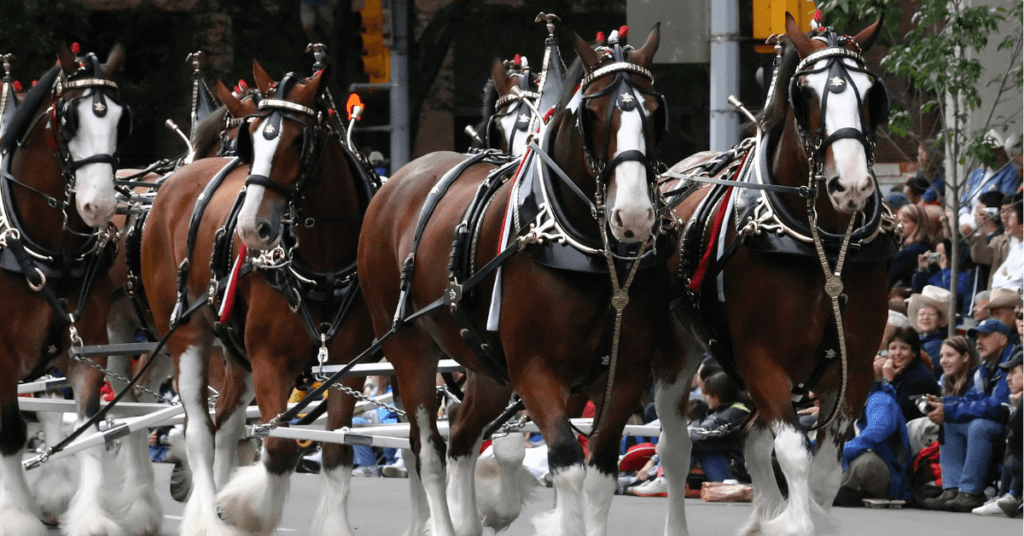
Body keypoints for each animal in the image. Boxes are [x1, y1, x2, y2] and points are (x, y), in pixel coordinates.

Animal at [0, 43, 132, 536]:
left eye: (121, 118)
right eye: (68, 120)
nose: (101, 206)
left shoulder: (86, 348)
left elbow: (89, 428)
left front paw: (91, 517)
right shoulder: (2, 358)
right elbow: (12, 434)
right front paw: (17, 516)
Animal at [141, 60, 380, 532]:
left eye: (298, 140)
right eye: (251, 140)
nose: (252, 229)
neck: (323, 265)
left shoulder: (349, 365)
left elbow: (338, 451)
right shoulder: (272, 361)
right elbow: (280, 448)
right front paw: (241, 509)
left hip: (236, 352)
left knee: (226, 425)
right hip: (187, 338)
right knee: (201, 432)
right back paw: (208, 517)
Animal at [358, 25, 671, 536]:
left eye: (655, 110)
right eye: (591, 113)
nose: (634, 216)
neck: (588, 251)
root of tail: (398, 182)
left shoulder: (624, 374)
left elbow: (598, 473)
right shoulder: (534, 369)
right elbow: (566, 461)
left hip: (486, 368)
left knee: (463, 434)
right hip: (408, 347)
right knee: (429, 451)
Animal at [655, 13, 897, 536]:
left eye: (873, 94)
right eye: (804, 93)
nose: (851, 185)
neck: (820, 245)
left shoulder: (854, 366)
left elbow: (825, 471)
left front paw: (800, 516)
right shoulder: (761, 357)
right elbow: (793, 455)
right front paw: (797, 522)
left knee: (749, 440)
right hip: (676, 350)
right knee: (677, 448)